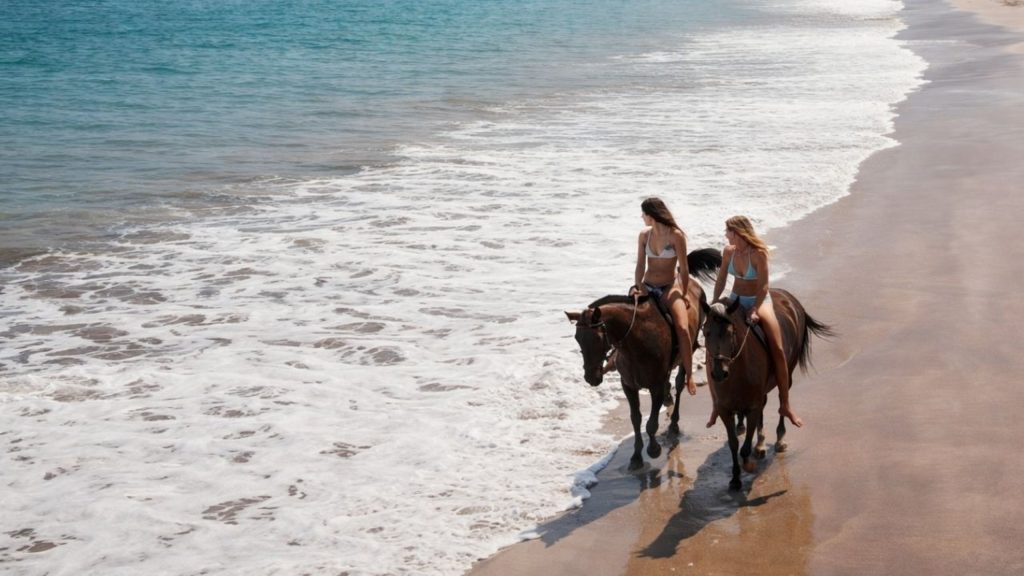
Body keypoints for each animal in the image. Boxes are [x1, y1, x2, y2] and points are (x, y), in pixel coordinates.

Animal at [565, 248, 721, 471]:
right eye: (578, 338)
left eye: (597, 339)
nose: (591, 377)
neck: (636, 341)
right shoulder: (628, 385)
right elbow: (636, 419)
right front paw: (636, 456)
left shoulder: (654, 385)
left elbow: (651, 423)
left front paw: (653, 449)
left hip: (687, 351)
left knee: (679, 382)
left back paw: (674, 423)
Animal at [701, 288, 833, 491]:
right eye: (706, 333)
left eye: (730, 333)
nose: (718, 372)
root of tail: (789, 297)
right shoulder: (724, 409)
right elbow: (734, 444)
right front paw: (735, 478)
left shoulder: (752, 407)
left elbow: (744, 447)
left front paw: (748, 465)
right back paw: (761, 444)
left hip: (787, 371)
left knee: (782, 401)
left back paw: (779, 440)